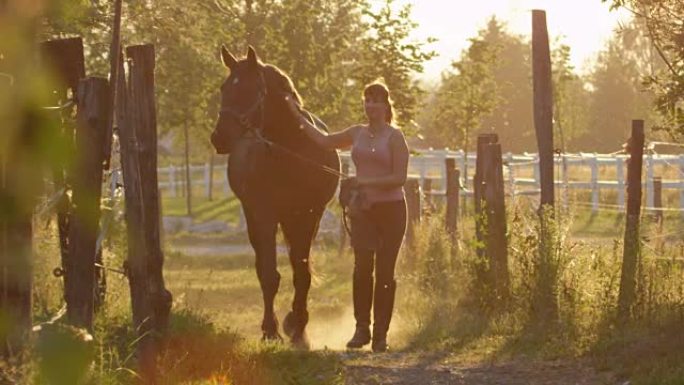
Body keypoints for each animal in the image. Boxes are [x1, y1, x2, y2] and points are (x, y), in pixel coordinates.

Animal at [208, 45, 336, 348]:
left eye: (251, 89)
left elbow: (302, 272)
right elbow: (268, 274)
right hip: (257, 219)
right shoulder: (263, 214)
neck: (289, 152)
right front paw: (270, 330)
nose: (219, 137)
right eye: (224, 88)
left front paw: (298, 328)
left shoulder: (307, 215)